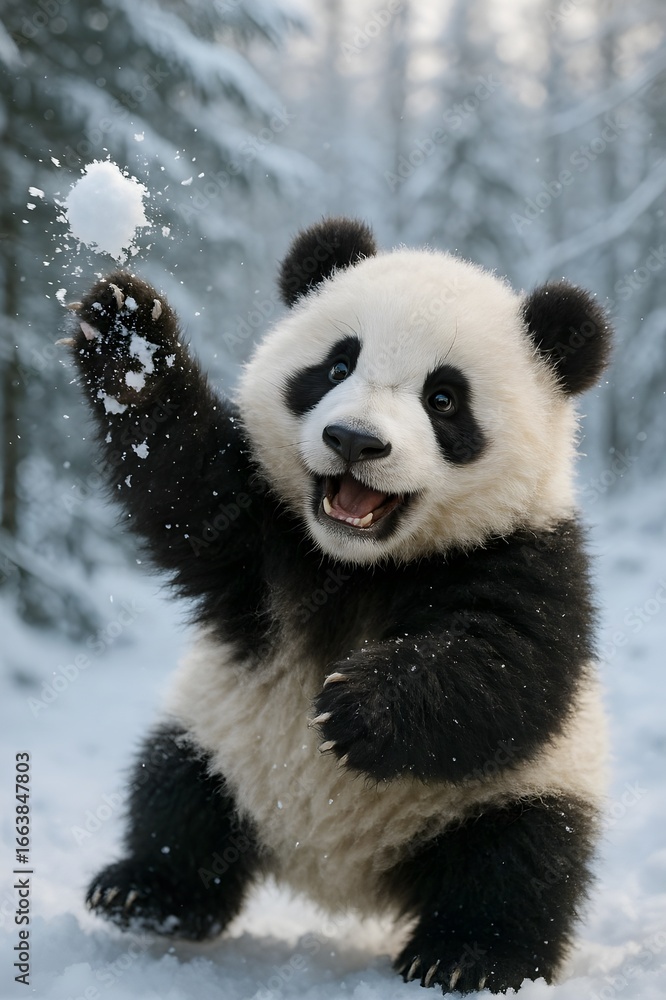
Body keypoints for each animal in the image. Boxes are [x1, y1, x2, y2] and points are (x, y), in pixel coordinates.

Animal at [66, 217, 611, 995]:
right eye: (335, 367)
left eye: (443, 399)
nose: (354, 441)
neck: (359, 566)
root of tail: (340, 878)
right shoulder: (262, 536)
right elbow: (185, 487)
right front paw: (127, 338)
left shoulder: (531, 553)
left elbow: (511, 667)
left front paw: (357, 707)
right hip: (220, 736)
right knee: (176, 794)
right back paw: (147, 893)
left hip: (518, 788)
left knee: (521, 860)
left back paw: (467, 955)